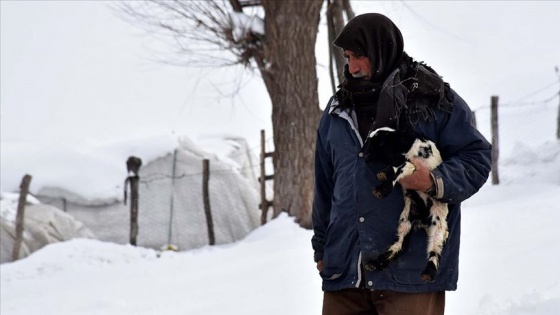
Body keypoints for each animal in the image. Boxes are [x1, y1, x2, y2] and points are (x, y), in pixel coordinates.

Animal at [364, 128, 450, 284]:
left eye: (378, 143)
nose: (363, 154)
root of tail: (423, 222)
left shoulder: (413, 165)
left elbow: (399, 169)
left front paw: (381, 191)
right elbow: (393, 167)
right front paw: (383, 174)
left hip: (438, 222)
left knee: (435, 250)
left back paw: (428, 273)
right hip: (406, 219)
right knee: (399, 245)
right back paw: (373, 264)